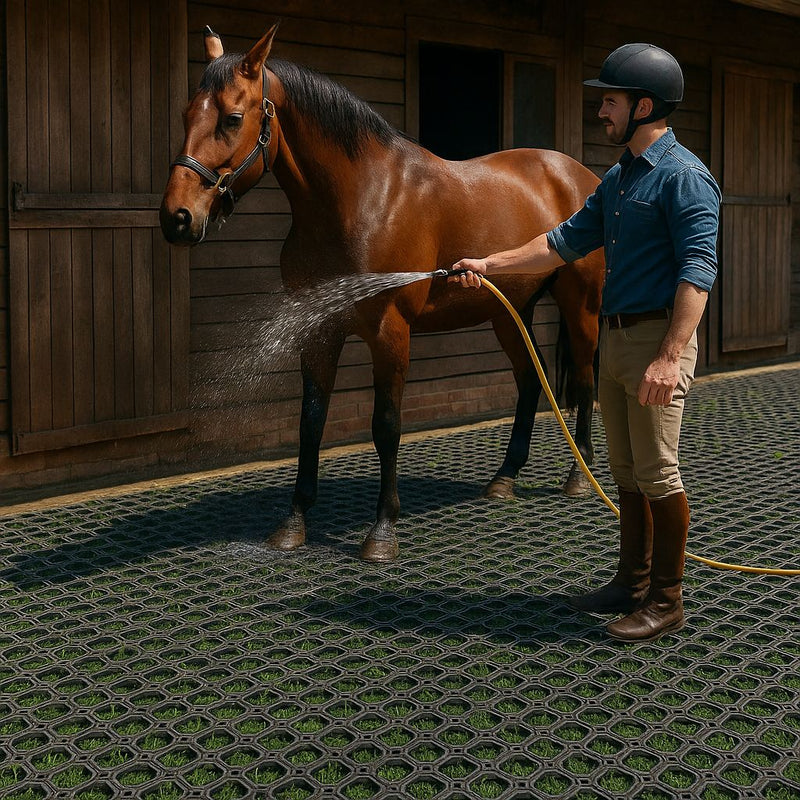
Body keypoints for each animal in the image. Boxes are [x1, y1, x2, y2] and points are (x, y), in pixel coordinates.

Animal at [159, 24, 605, 562]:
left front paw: (382, 530)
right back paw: (504, 478)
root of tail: (579, 175)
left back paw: (578, 479)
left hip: (581, 307)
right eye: (186, 114)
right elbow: (311, 422)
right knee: (529, 382)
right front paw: (294, 522)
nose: (177, 217)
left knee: (585, 382)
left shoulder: (390, 331)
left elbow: (386, 425)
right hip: (506, 312)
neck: (364, 198)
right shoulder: (318, 330)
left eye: (232, 118)